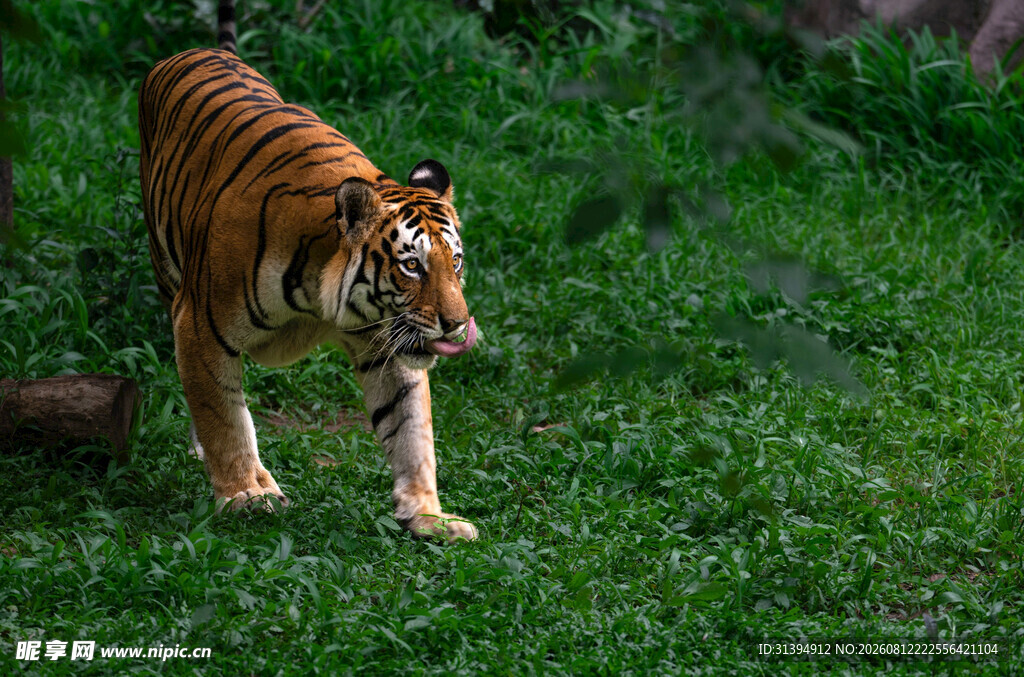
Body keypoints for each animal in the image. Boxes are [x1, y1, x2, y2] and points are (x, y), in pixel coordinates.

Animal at [137, 0, 479, 542]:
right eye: (411, 266)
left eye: (456, 262)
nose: (457, 325)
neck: (321, 299)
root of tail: (201, 50)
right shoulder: (198, 324)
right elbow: (221, 414)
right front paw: (244, 495)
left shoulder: (387, 345)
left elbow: (410, 431)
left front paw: (428, 516)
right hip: (166, 267)